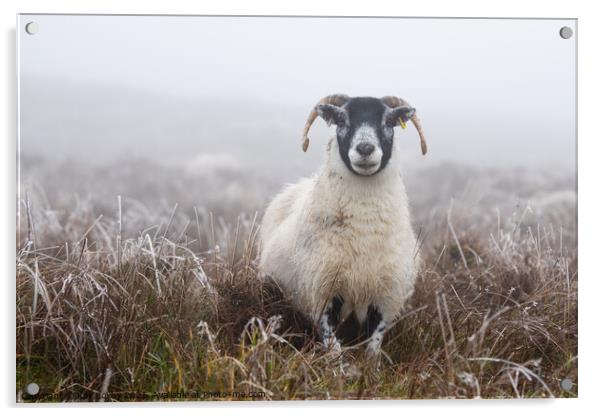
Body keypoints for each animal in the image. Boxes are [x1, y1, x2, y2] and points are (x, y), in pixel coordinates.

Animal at [258, 94, 426, 354]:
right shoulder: (323, 293)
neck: (365, 228)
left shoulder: (384, 297)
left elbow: (373, 347)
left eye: (389, 121)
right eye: (341, 120)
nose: (365, 148)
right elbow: (333, 347)